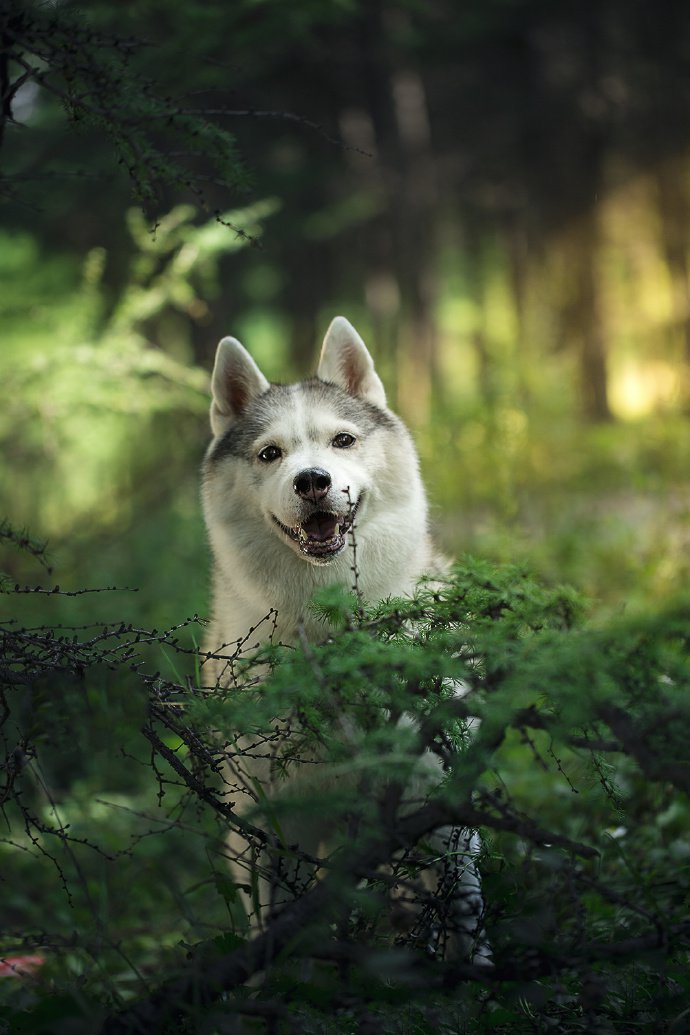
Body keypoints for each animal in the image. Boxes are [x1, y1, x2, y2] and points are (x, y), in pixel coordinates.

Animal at [202, 316, 488, 960]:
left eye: (342, 441)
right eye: (271, 453)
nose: (312, 481)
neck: (330, 625)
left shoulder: (433, 801)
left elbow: (463, 912)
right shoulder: (270, 820)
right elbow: (271, 922)